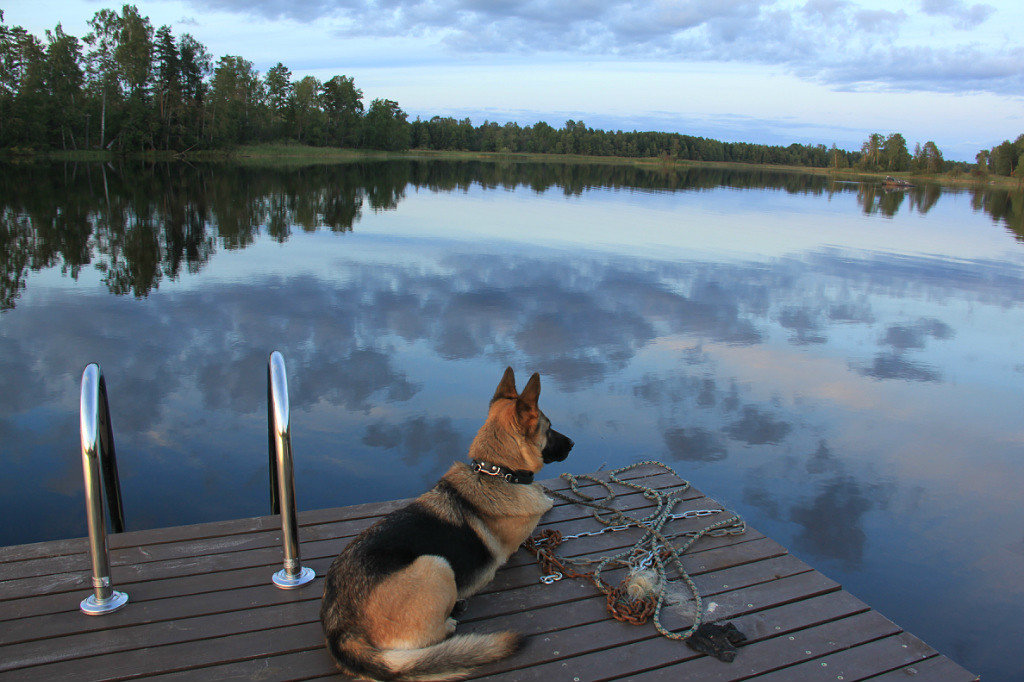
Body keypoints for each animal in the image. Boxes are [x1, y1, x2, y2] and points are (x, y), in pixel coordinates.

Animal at [321, 368, 577, 675]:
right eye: (548, 428)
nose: (573, 443)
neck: (495, 473)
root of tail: (340, 627)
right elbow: (545, 505)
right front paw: (548, 500)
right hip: (436, 564)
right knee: (429, 637)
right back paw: (453, 617)